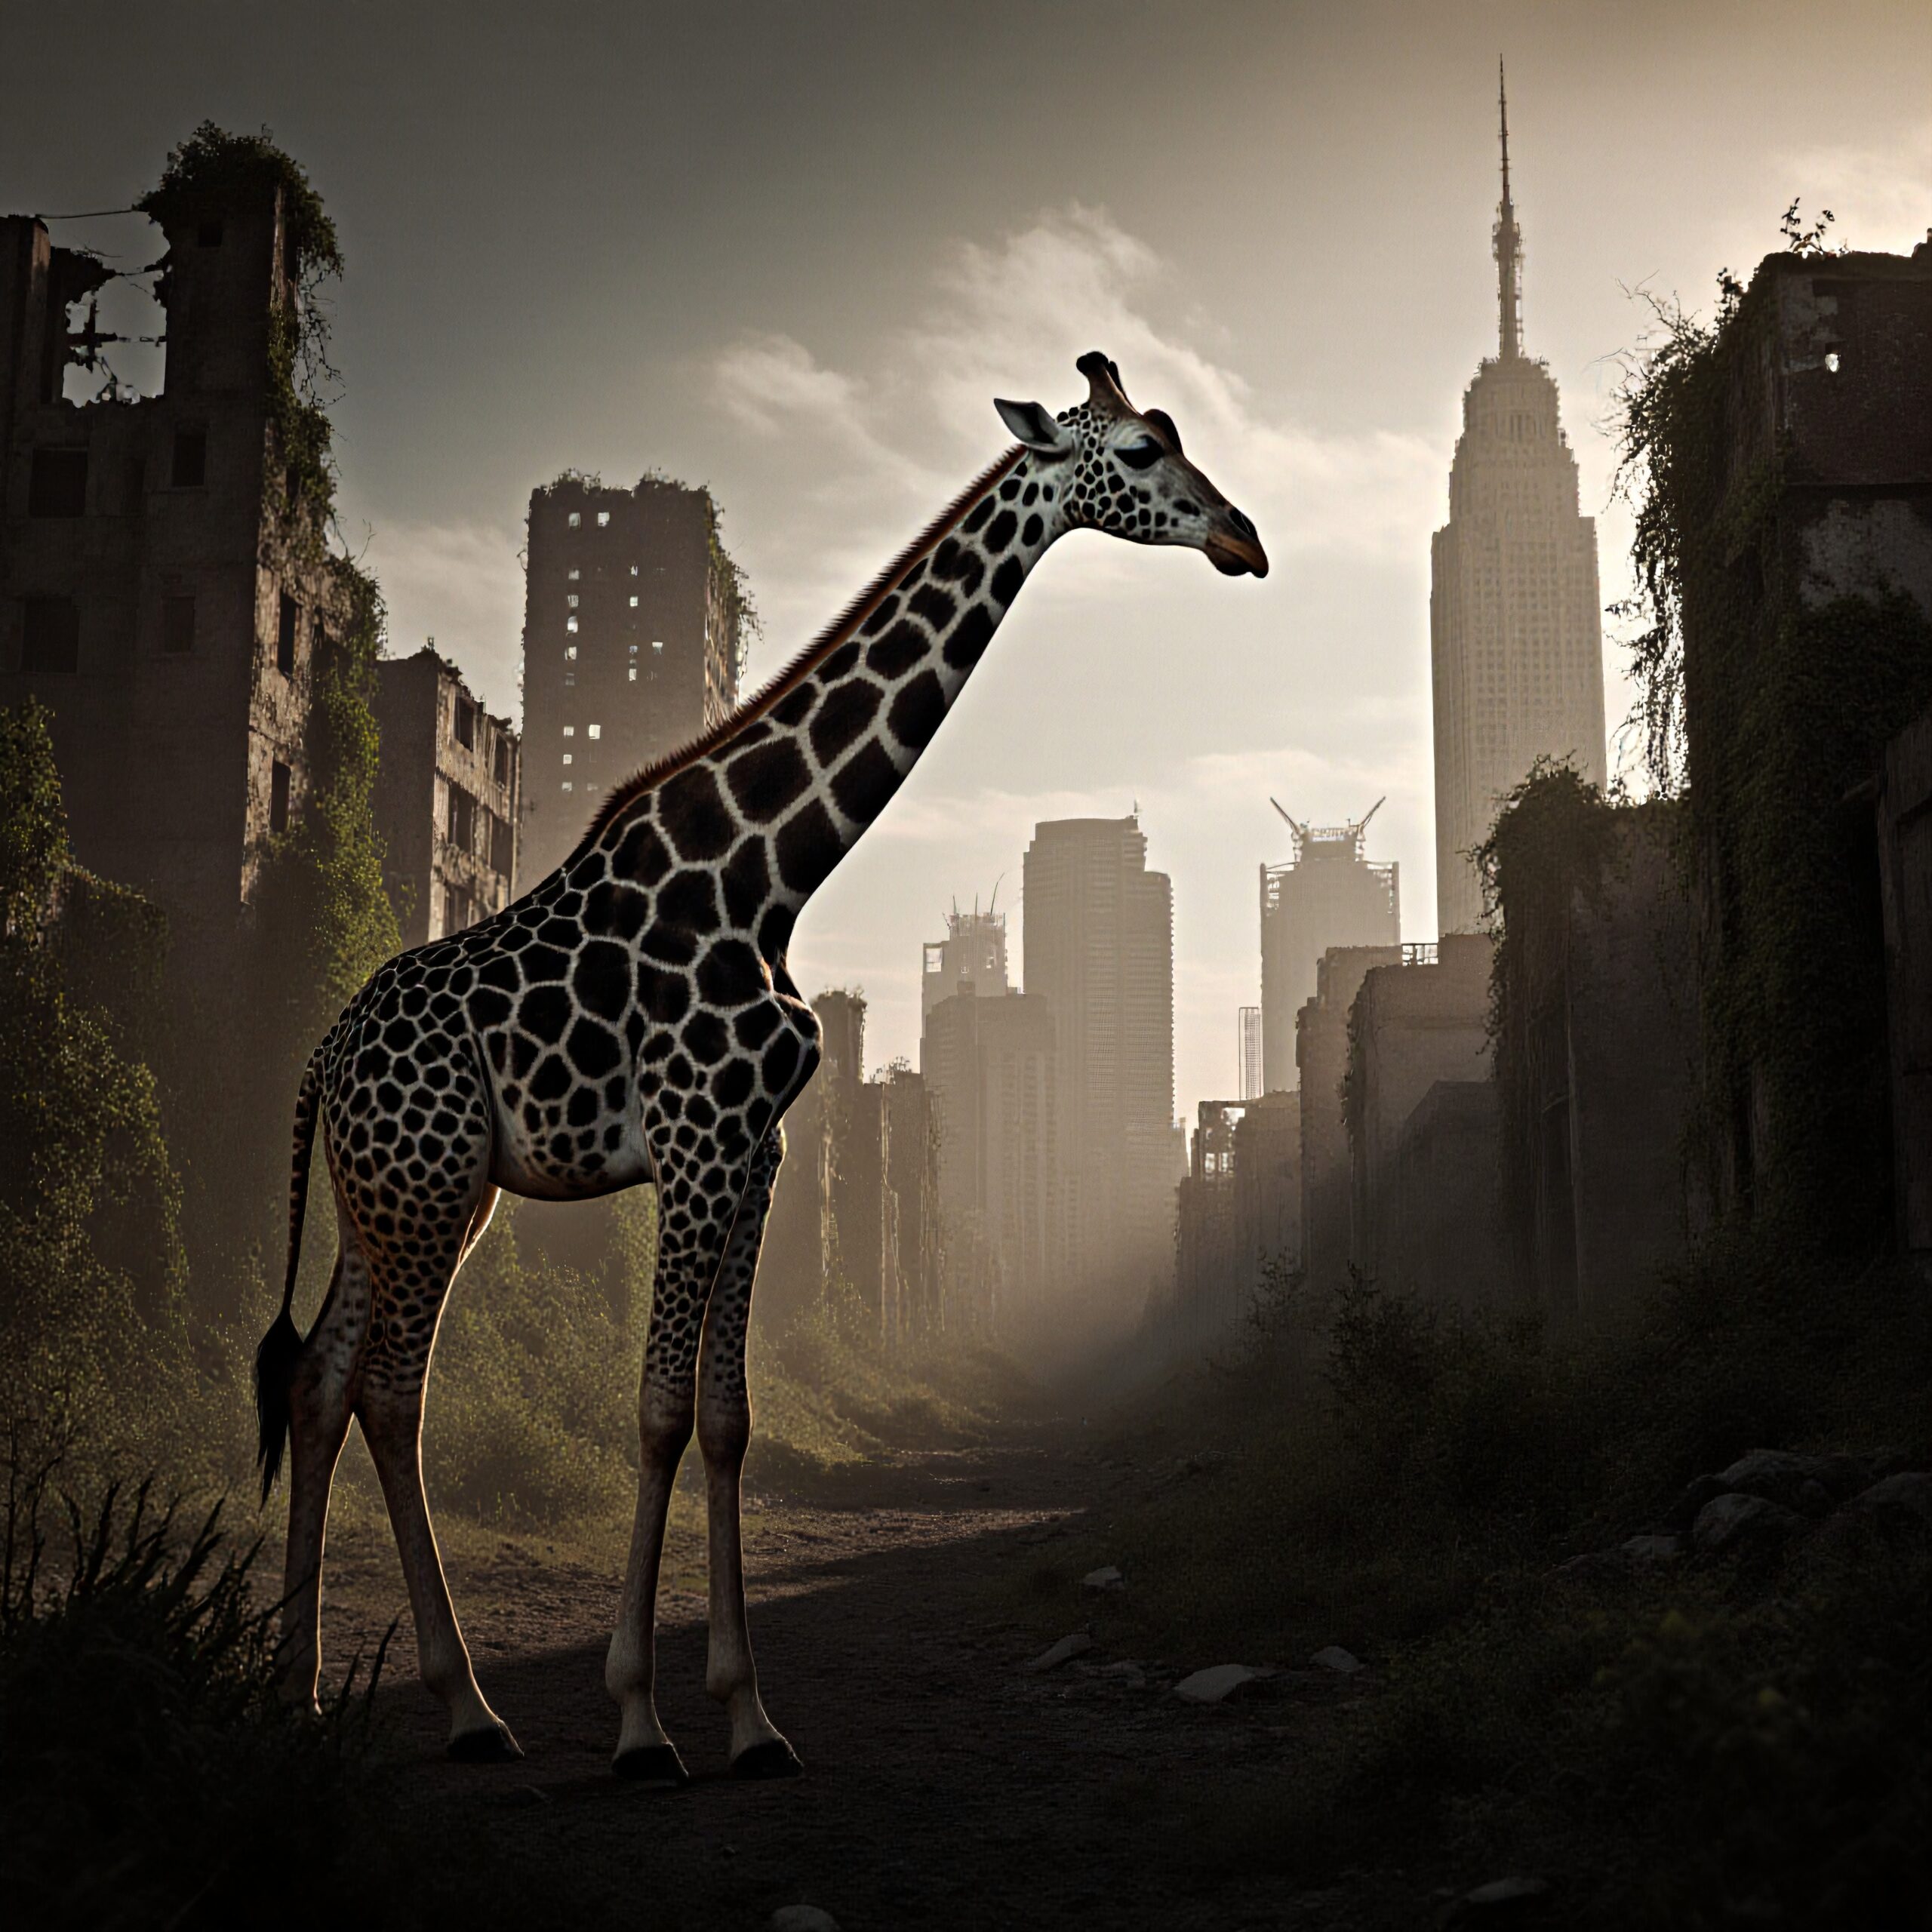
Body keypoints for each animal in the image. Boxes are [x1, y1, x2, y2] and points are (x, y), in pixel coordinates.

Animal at [255, 350, 1267, 1783]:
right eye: (1135, 448)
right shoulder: (692, 1139)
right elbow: (658, 1409)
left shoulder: (760, 1150)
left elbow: (729, 1418)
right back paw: (467, 1708)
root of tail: (325, 1059)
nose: (1246, 539)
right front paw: (638, 1724)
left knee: (322, 1380)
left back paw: (301, 1697)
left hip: (393, 1195)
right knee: (393, 1396)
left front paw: (749, 1719)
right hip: (430, 1184)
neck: (770, 874)